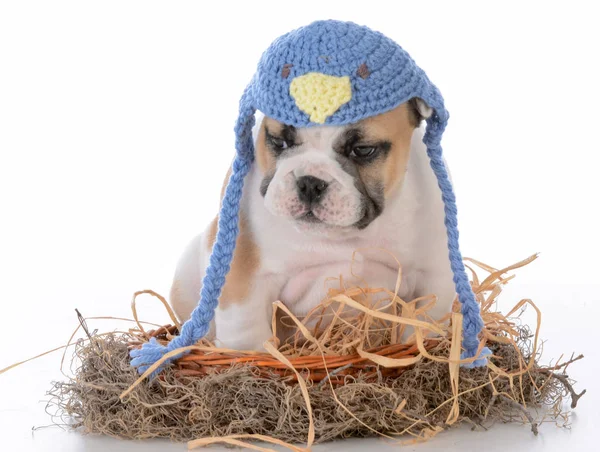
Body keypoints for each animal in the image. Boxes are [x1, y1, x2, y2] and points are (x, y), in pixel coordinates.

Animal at [171, 99, 458, 350]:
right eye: (279, 141)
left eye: (363, 149)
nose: (310, 182)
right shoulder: (244, 268)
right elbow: (246, 328)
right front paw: (250, 355)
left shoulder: (433, 277)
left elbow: (423, 321)